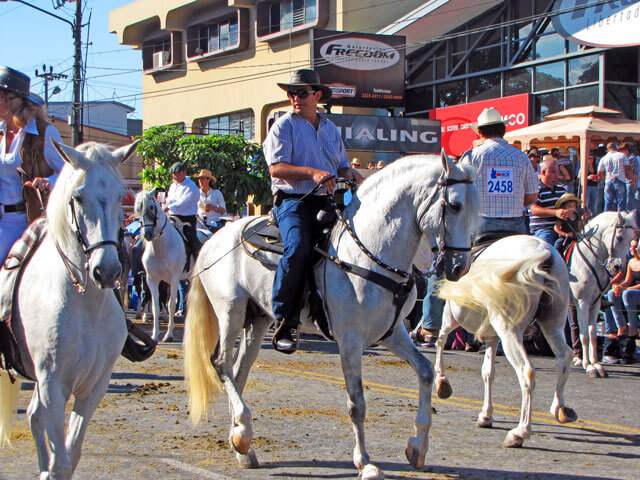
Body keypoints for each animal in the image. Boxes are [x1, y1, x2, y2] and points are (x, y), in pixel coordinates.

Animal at [0, 141, 138, 478]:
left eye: (120, 195)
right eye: (77, 197)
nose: (107, 271)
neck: (86, 307)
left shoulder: (93, 387)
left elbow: (70, 455)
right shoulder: (53, 385)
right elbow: (60, 461)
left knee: (33, 416)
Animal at [133, 189, 212, 344]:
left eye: (151, 207)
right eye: (138, 209)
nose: (148, 234)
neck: (161, 247)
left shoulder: (173, 280)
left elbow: (170, 305)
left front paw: (169, 334)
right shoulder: (152, 279)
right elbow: (156, 305)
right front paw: (155, 335)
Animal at [182, 155, 478, 480]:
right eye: (454, 205)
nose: (460, 268)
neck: (368, 253)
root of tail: (212, 241)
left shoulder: (392, 332)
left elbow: (425, 371)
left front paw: (417, 447)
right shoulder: (349, 340)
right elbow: (357, 403)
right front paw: (365, 463)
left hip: (257, 321)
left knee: (237, 372)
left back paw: (241, 445)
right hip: (230, 311)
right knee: (222, 363)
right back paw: (243, 433)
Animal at [438, 234, 576, 448]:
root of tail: (544, 253)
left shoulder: (450, 317)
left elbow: (441, 340)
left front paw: (442, 382)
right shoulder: (492, 337)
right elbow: (488, 372)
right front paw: (486, 415)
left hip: (509, 330)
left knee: (526, 371)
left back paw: (520, 432)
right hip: (552, 323)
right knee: (565, 357)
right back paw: (559, 408)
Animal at [568, 212, 636, 376]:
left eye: (631, 238)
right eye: (619, 237)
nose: (617, 267)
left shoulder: (595, 303)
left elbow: (592, 334)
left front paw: (596, 364)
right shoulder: (582, 302)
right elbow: (584, 335)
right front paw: (588, 366)